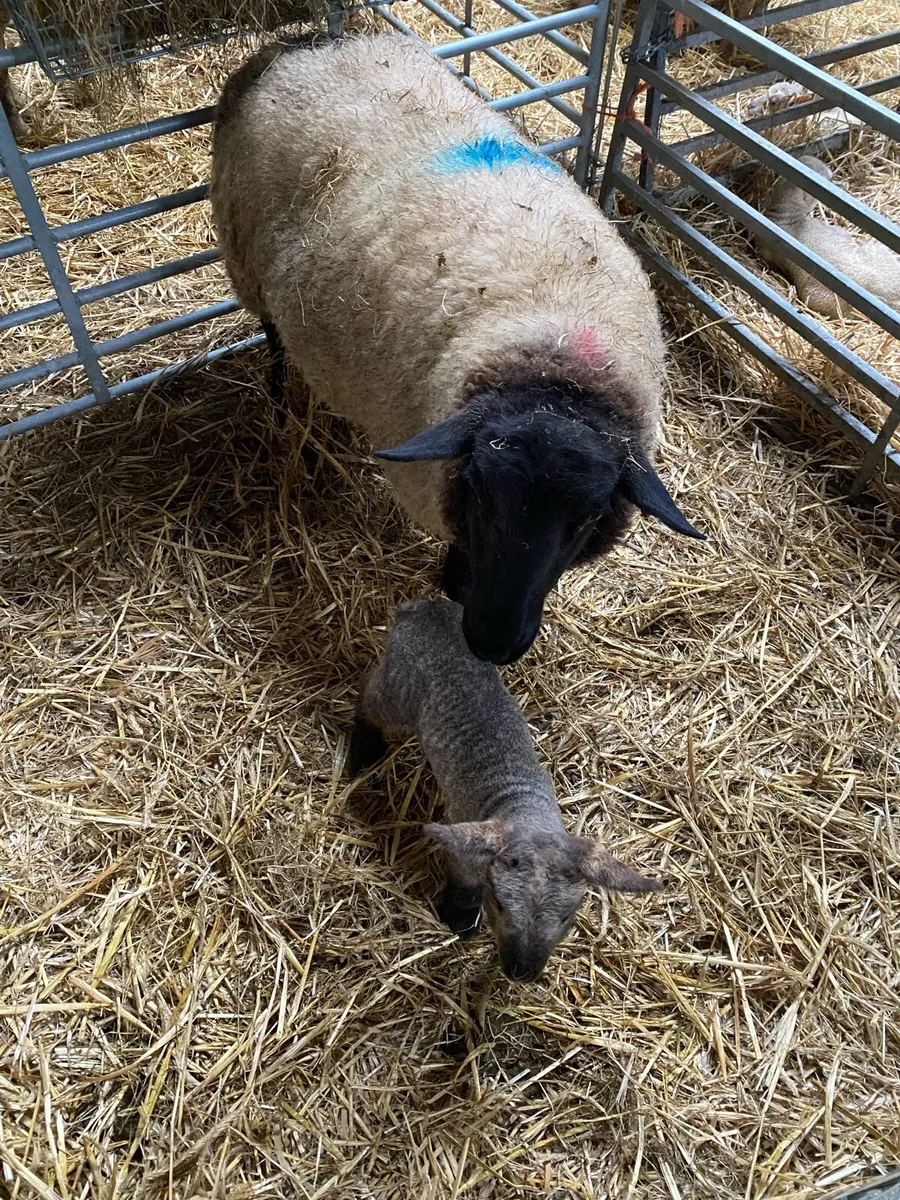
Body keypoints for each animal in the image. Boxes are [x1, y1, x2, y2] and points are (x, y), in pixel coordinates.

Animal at [211, 33, 703, 667]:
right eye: (481, 492)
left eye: (589, 517)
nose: (494, 643)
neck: (554, 357)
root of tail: (294, 44)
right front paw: (452, 588)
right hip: (245, 255)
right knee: (272, 334)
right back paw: (278, 399)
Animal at [349, 596, 662, 982]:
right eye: (498, 903)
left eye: (567, 917)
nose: (521, 972)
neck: (524, 807)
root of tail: (422, 606)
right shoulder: (467, 845)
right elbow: (464, 884)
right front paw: (460, 921)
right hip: (398, 689)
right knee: (369, 697)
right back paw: (363, 751)